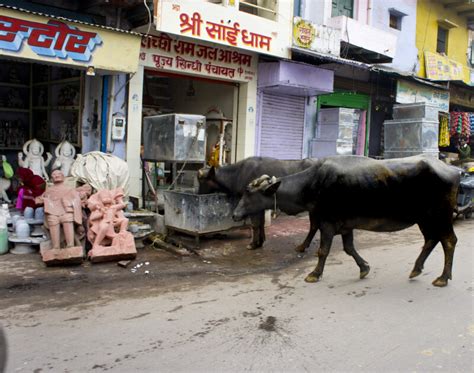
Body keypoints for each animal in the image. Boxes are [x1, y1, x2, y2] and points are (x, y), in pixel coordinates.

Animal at [231, 155, 462, 286]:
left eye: (249, 193)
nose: (234, 214)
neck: (312, 183)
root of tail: (453, 170)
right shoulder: (345, 226)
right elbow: (349, 249)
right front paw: (364, 268)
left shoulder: (326, 223)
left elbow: (323, 250)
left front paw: (314, 273)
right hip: (425, 220)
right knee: (431, 240)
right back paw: (416, 269)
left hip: (440, 217)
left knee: (449, 241)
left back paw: (443, 278)